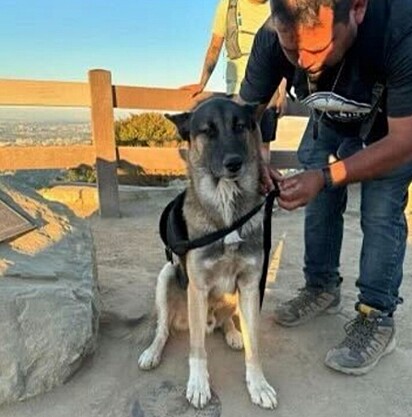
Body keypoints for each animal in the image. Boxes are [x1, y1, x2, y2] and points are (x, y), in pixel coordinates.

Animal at [138, 97, 276, 410]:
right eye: (208, 131)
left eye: (240, 126)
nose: (234, 164)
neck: (227, 209)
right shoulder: (198, 289)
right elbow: (197, 350)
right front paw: (199, 385)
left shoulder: (250, 286)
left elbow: (255, 347)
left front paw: (258, 385)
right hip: (167, 276)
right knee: (163, 328)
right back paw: (152, 352)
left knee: (228, 321)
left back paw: (233, 332)